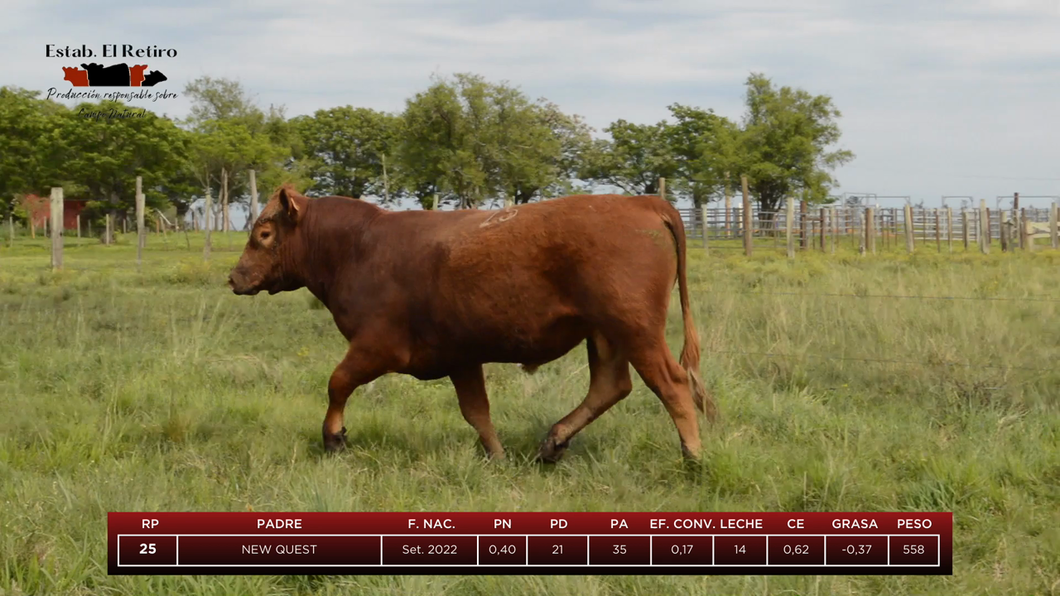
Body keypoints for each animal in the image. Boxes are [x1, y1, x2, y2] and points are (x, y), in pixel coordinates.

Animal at [226, 184, 716, 460]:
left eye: (263, 234)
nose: (234, 276)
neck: (359, 247)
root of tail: (643, 202)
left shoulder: (375, 346)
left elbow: (337, 383)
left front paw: (333, 438)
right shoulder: (461, 357)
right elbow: (477, 412)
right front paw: (497, 458)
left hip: (636, 330)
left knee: (672, 385)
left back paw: (693, 457)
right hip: (605, 335)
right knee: (610, 387)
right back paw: (552, 443)